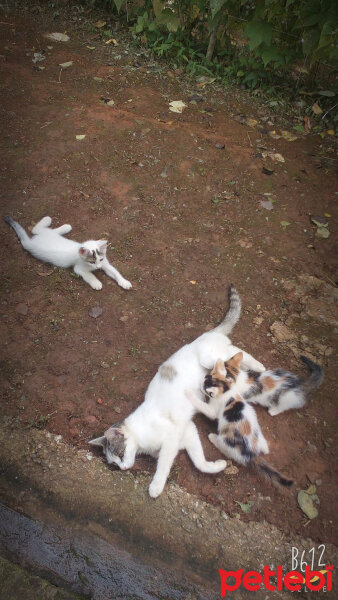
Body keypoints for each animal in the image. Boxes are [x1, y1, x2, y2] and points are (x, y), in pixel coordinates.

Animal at [90, 284, 266, 496]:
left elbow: (163, 466)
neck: (141, 434)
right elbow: (200, 462)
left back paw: (258, 366)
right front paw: (218, 466)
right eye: (114, 463)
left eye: (121, 453)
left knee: (236, 353)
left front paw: (156, 487)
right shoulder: (189, 431)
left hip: (210, 358)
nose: (123, 468)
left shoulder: (171, 440)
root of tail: (207, 334)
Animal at [186, 352, 294, 488]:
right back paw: (265, 447)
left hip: (227, 442)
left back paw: (213, 437)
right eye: (206, 377)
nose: (201, 383)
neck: (227, 390)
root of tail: (251, 453)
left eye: (205, 387)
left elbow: (204, 407)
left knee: (223, 446)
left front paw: (189, 393)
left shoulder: (213, 410)